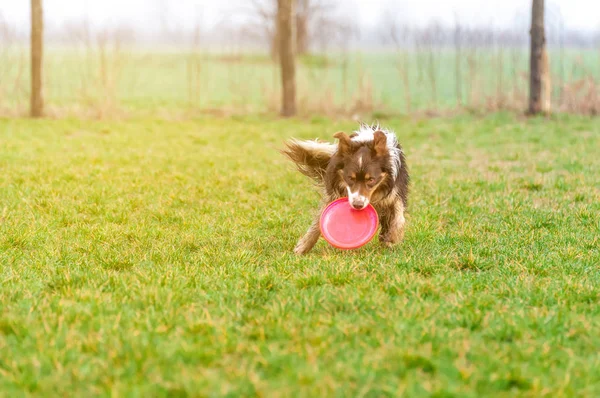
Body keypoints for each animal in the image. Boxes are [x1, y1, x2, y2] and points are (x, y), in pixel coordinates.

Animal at [282, 123, 408, 255]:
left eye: (371, 179)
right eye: (350, 178)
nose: (358, 205)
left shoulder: (395, 190)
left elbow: (399, 213)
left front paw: (394, 236)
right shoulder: (335, 193)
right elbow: (319, 220)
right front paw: (303, 246)